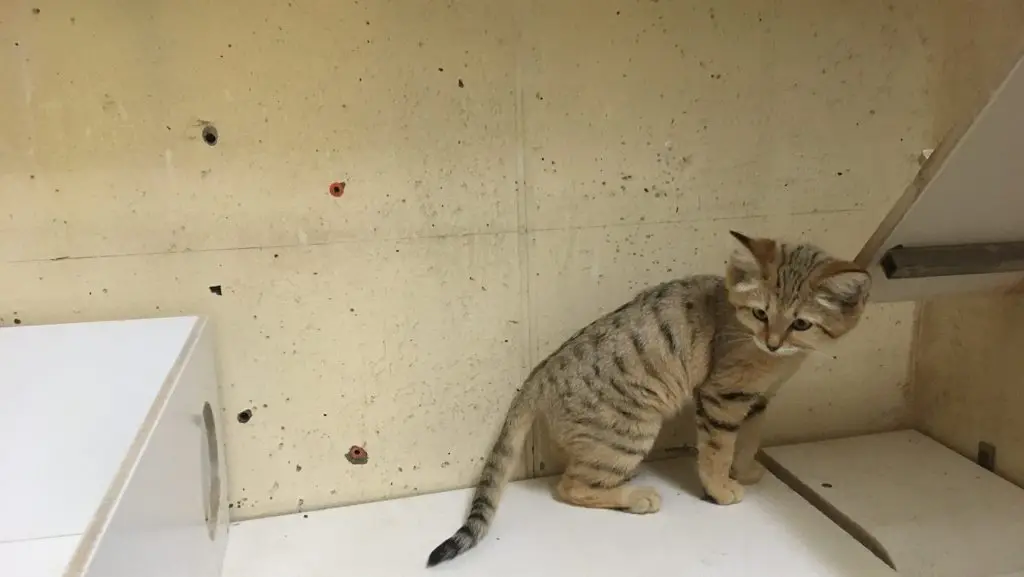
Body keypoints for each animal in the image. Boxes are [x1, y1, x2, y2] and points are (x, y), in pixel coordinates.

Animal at [425, 230, 872, 569]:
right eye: (761, 314)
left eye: (801, 324)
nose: (773, 342)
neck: (773, 359)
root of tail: (540, 372)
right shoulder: (722, 397)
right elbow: (718, 451)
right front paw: (720, 489)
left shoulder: (757, 400)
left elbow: (749, 441)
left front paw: (744, 471)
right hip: (629, 433)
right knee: (569, 487)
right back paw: (636, 497)